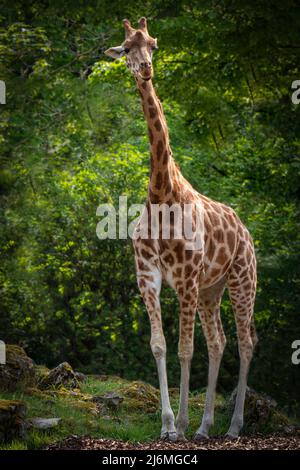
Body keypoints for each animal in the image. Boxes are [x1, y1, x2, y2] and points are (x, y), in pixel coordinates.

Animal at [104, 15, 256, 440]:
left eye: (153, 44)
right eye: (126, 48)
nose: (145, 69)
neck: (161, 193)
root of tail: (246, 232)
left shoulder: (185, 278)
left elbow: (185, 349)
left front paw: (181, 424)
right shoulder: (149, 276)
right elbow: (159, 346)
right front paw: (170, 425)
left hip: (241, 280)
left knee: (246, 342)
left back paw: (232, 426)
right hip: (211, 289)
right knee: (219, 341)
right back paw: (206, 427)